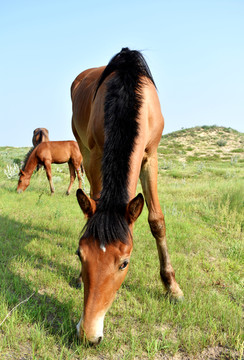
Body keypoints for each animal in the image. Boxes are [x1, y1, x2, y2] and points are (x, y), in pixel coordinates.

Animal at [71, 47, 184, 344]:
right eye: (80, 254)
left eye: (124, 264)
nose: (88, 334)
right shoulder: (96, 155)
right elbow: (95, 200)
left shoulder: (150, 156)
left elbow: (157, 221)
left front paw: (172, 286)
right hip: (83, 151)